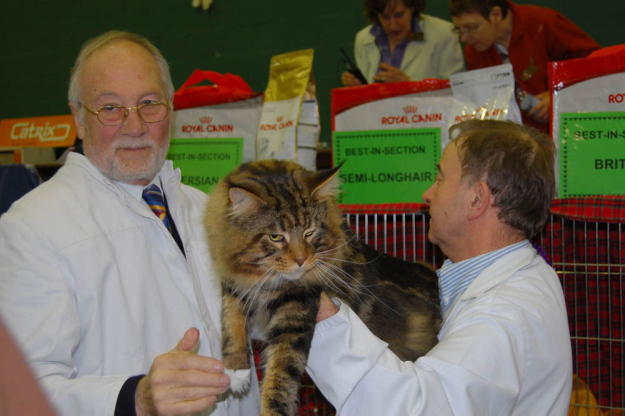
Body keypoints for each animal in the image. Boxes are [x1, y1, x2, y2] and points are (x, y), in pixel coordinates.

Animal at [205, 160, 438, 416]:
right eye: (276, 237)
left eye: (309, 232)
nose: (301, 260)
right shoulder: (234, 281)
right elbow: (231, 320)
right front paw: (236, 369)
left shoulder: (297, 309)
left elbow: (281, 376)